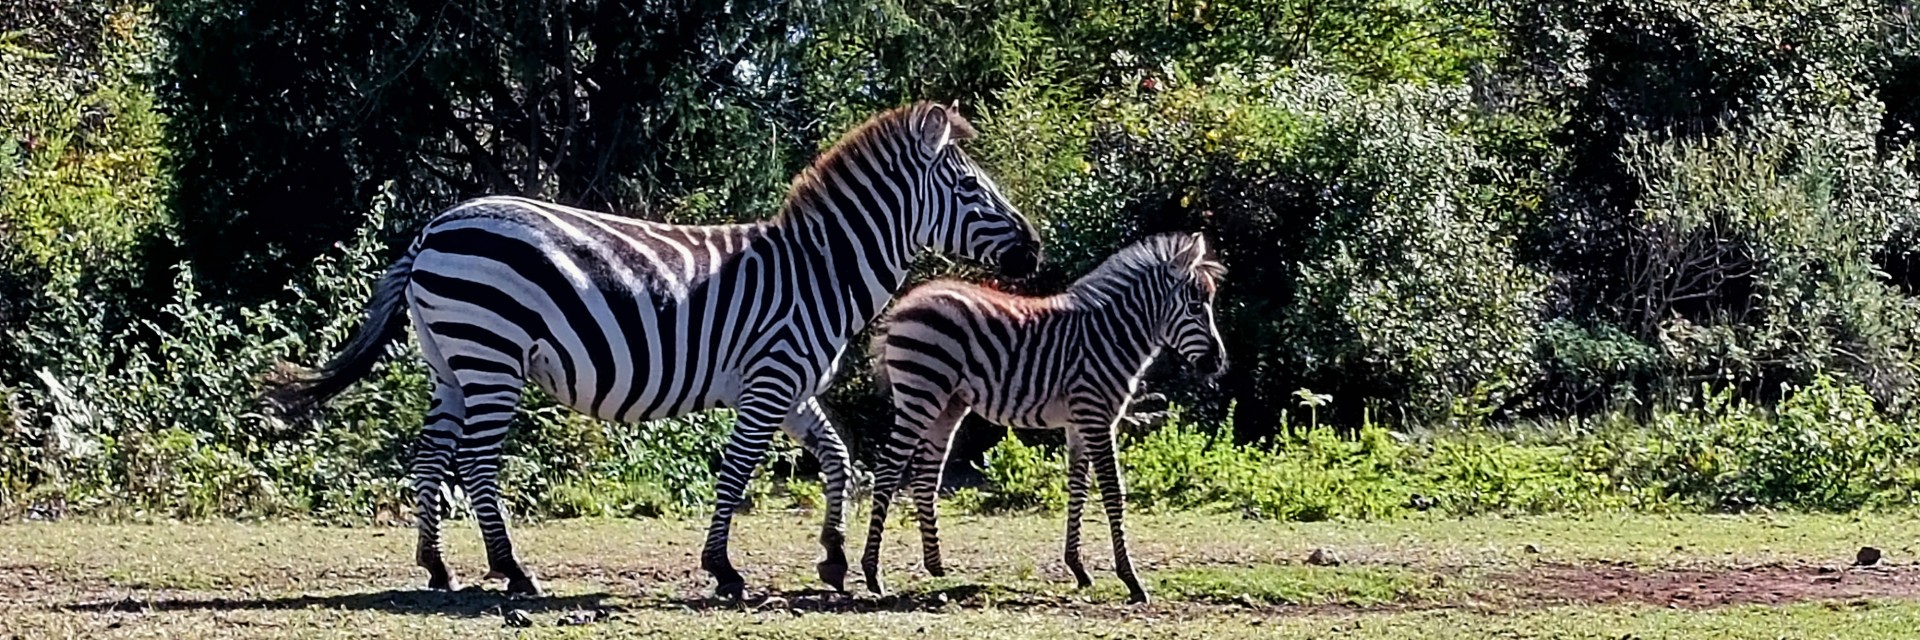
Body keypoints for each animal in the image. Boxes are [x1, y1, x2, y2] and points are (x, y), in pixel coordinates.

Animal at [263, 102, 1044, 595]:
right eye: (969, 186)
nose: (1036, 248)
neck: (819, 270)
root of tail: (432, 229)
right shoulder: (769, 380)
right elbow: (737, 472)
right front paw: (724, 570)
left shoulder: (794, 388)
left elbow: (837, 459)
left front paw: (831, 560)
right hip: (491, 354)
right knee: (477, 463)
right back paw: (512, 570)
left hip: (450, 361)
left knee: (430, 456)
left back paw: (436, 567)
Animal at [860, 231, 1221, 599]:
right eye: (1195, 307)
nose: (1218, 362)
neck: (1112, 336)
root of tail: (907, 302)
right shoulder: (1097, 416)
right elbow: (1112, 491)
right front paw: (1131, 580)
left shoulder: (1080, 421)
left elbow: (1078, 486)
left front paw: (1078, 568)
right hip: (921, 392)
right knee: (888, 468)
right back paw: (873, 572)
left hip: (949, 402)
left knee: (926, 473)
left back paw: (935, 565)